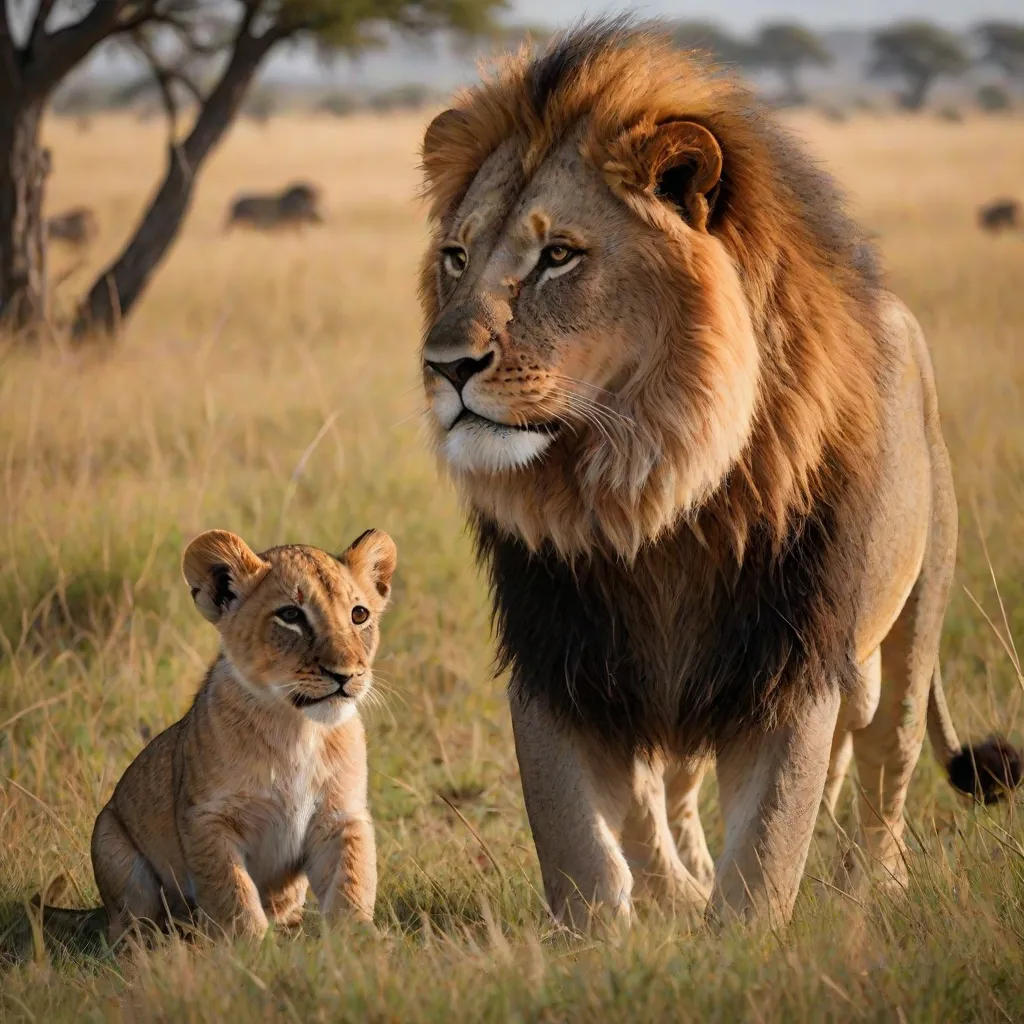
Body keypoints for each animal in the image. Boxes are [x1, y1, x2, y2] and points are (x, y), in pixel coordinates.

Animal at [45, 529, 395, 946]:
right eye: (290, 615)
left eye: (359, 615)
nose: (345, 674)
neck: (298, 728)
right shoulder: (208, 818)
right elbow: (232, 890)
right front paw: (251, 948)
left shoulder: (341, 815)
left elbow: (351, 880)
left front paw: (358, 943)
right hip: (110, 839)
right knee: (132, 922)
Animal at [418, 19, 1022, 928]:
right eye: (456, 256)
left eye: (559, 255)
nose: (445, 365)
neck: (646, 483)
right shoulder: (564, 654)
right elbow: (583, 841)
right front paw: (621, 928)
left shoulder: (787, 654)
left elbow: (770, 838)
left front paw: (740, 937)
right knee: (675, 783)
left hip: (913, 621)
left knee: (887, 758)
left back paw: (872, 886)